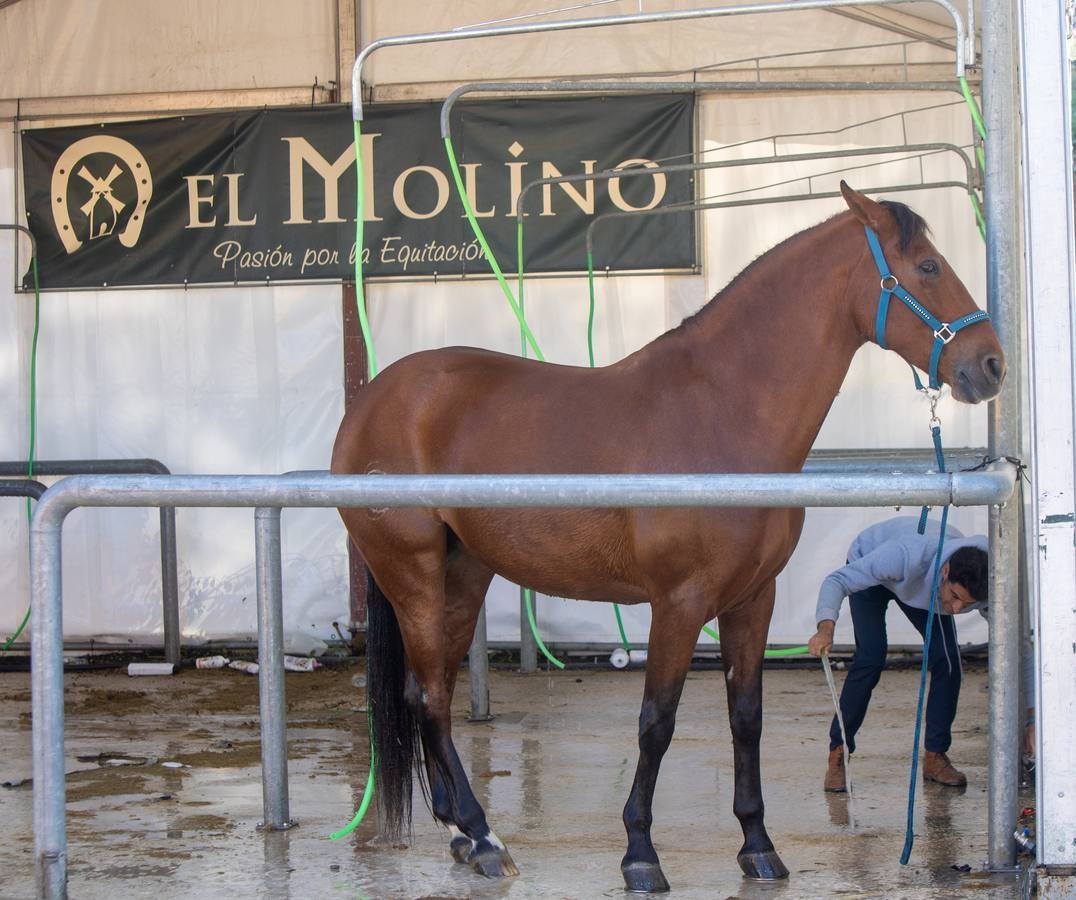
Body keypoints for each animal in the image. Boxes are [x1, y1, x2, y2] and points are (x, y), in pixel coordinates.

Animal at [331, 183, 1002, 891]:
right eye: (927, 266)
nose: (991, 365)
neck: (723, 413)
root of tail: (373, 399)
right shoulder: (678, 604)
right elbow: (657, 722)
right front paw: (640, 854)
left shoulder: (753, 599)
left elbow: (746, 717)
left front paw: (758, 845)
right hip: (413, 576)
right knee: (431, 698)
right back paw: (484, 836)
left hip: (464, 575)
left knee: (428, 694)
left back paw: (462, 831)